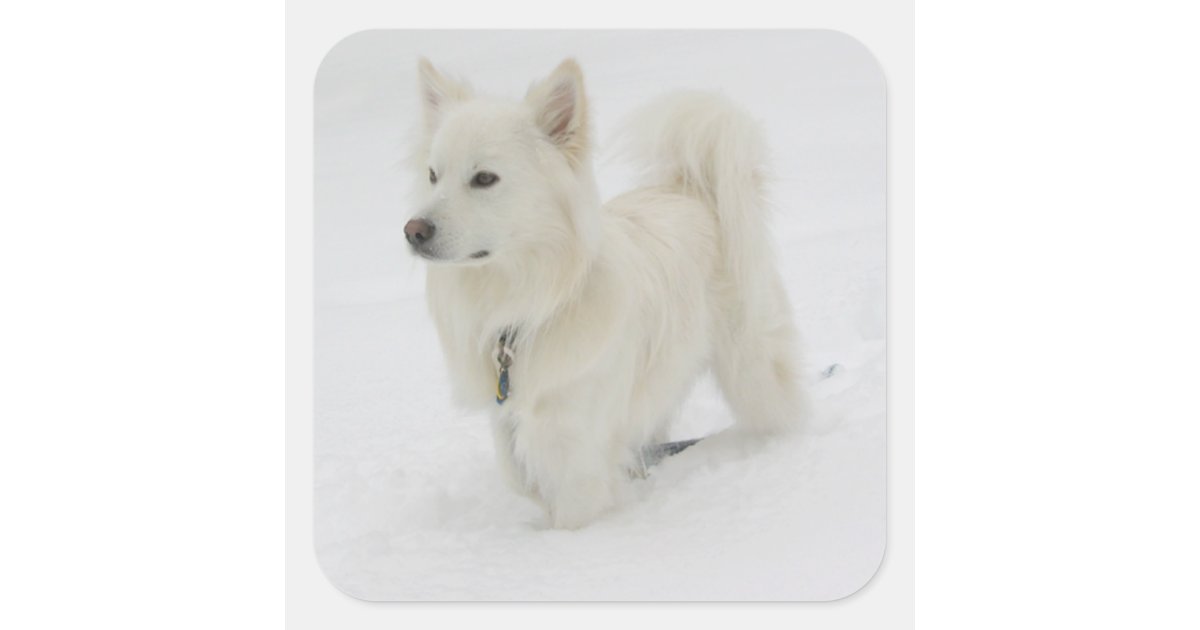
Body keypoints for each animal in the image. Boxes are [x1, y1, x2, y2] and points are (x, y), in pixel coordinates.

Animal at [408, 58, 811, 528]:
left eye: (484, 178)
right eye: (432, 176)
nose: (413, 230)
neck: (528, 304)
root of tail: (694, 191)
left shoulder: (576, 440)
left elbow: (574, 510)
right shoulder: (507, 419)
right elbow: (517, 477)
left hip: (751, 368)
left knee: (783, 411)